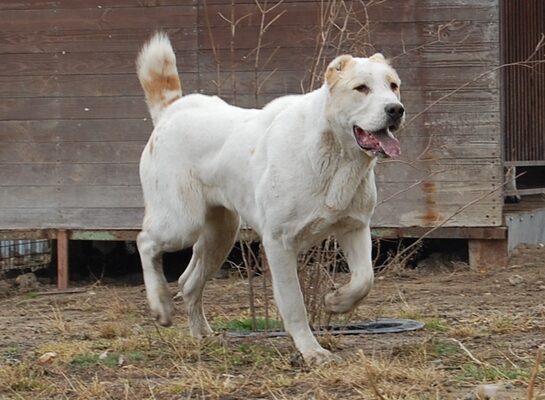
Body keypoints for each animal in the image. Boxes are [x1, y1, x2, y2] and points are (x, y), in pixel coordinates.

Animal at [134, 33, 402, 366]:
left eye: (393, 86)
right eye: (361, 88)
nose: (396, 109)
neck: (336, 157)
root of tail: (172, 110)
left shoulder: (354, 227)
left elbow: (365, 279)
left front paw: (337, 301)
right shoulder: (279, 243)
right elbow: (294, 304)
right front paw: (311, 351)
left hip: (221, 234)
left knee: (188, 281)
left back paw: (202, 335)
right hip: (181, 223)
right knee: (145, 242)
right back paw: (161, 305)